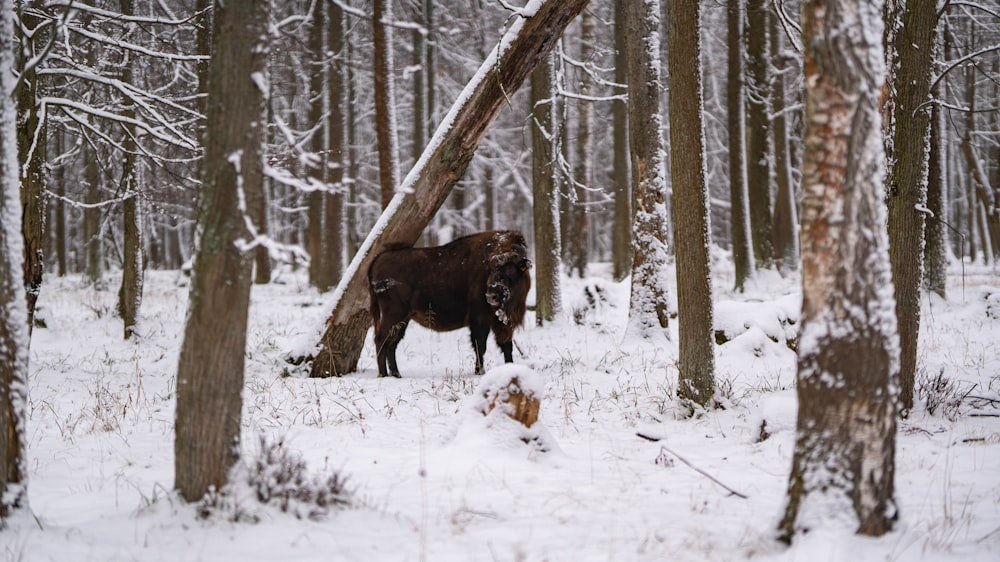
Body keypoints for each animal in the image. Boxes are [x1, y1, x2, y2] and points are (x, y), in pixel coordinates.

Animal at [368, 230, 536, 378]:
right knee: (381, 340)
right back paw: (383, 375)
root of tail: (377, 260)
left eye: (510, 269)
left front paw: (510, 367)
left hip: (404, 319)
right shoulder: (480, 319)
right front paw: (479, 372)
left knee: (392, 344)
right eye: (491, 269)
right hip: (393, 314)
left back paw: (396, 375)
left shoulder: (503, 323)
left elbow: (507, 346)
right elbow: (480, 345)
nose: (491, 296)